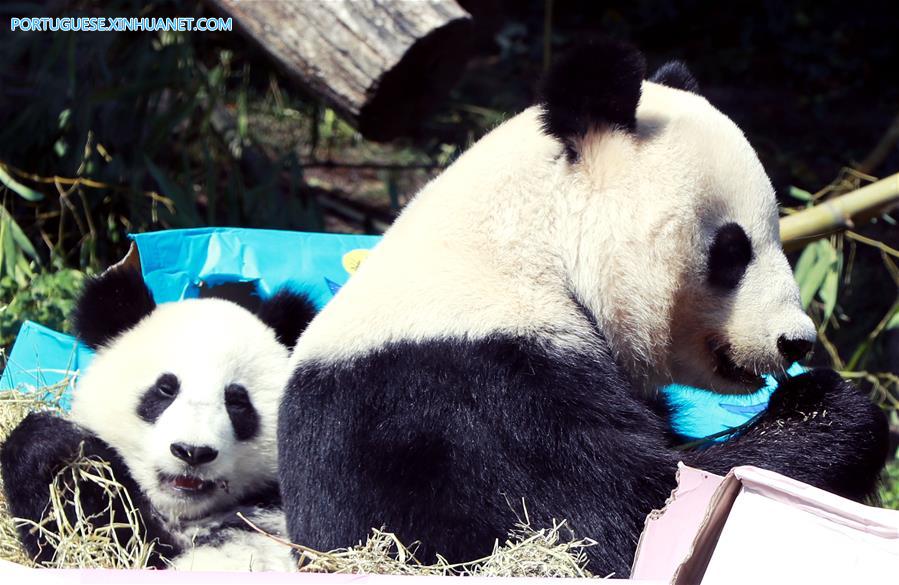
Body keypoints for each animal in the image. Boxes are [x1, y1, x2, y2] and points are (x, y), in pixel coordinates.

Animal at [280, 40, 892, 576]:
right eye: (732, 249)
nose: (796, 340)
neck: (530, 241)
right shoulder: (464, 396)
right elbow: (617, 514)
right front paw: (836, 410)